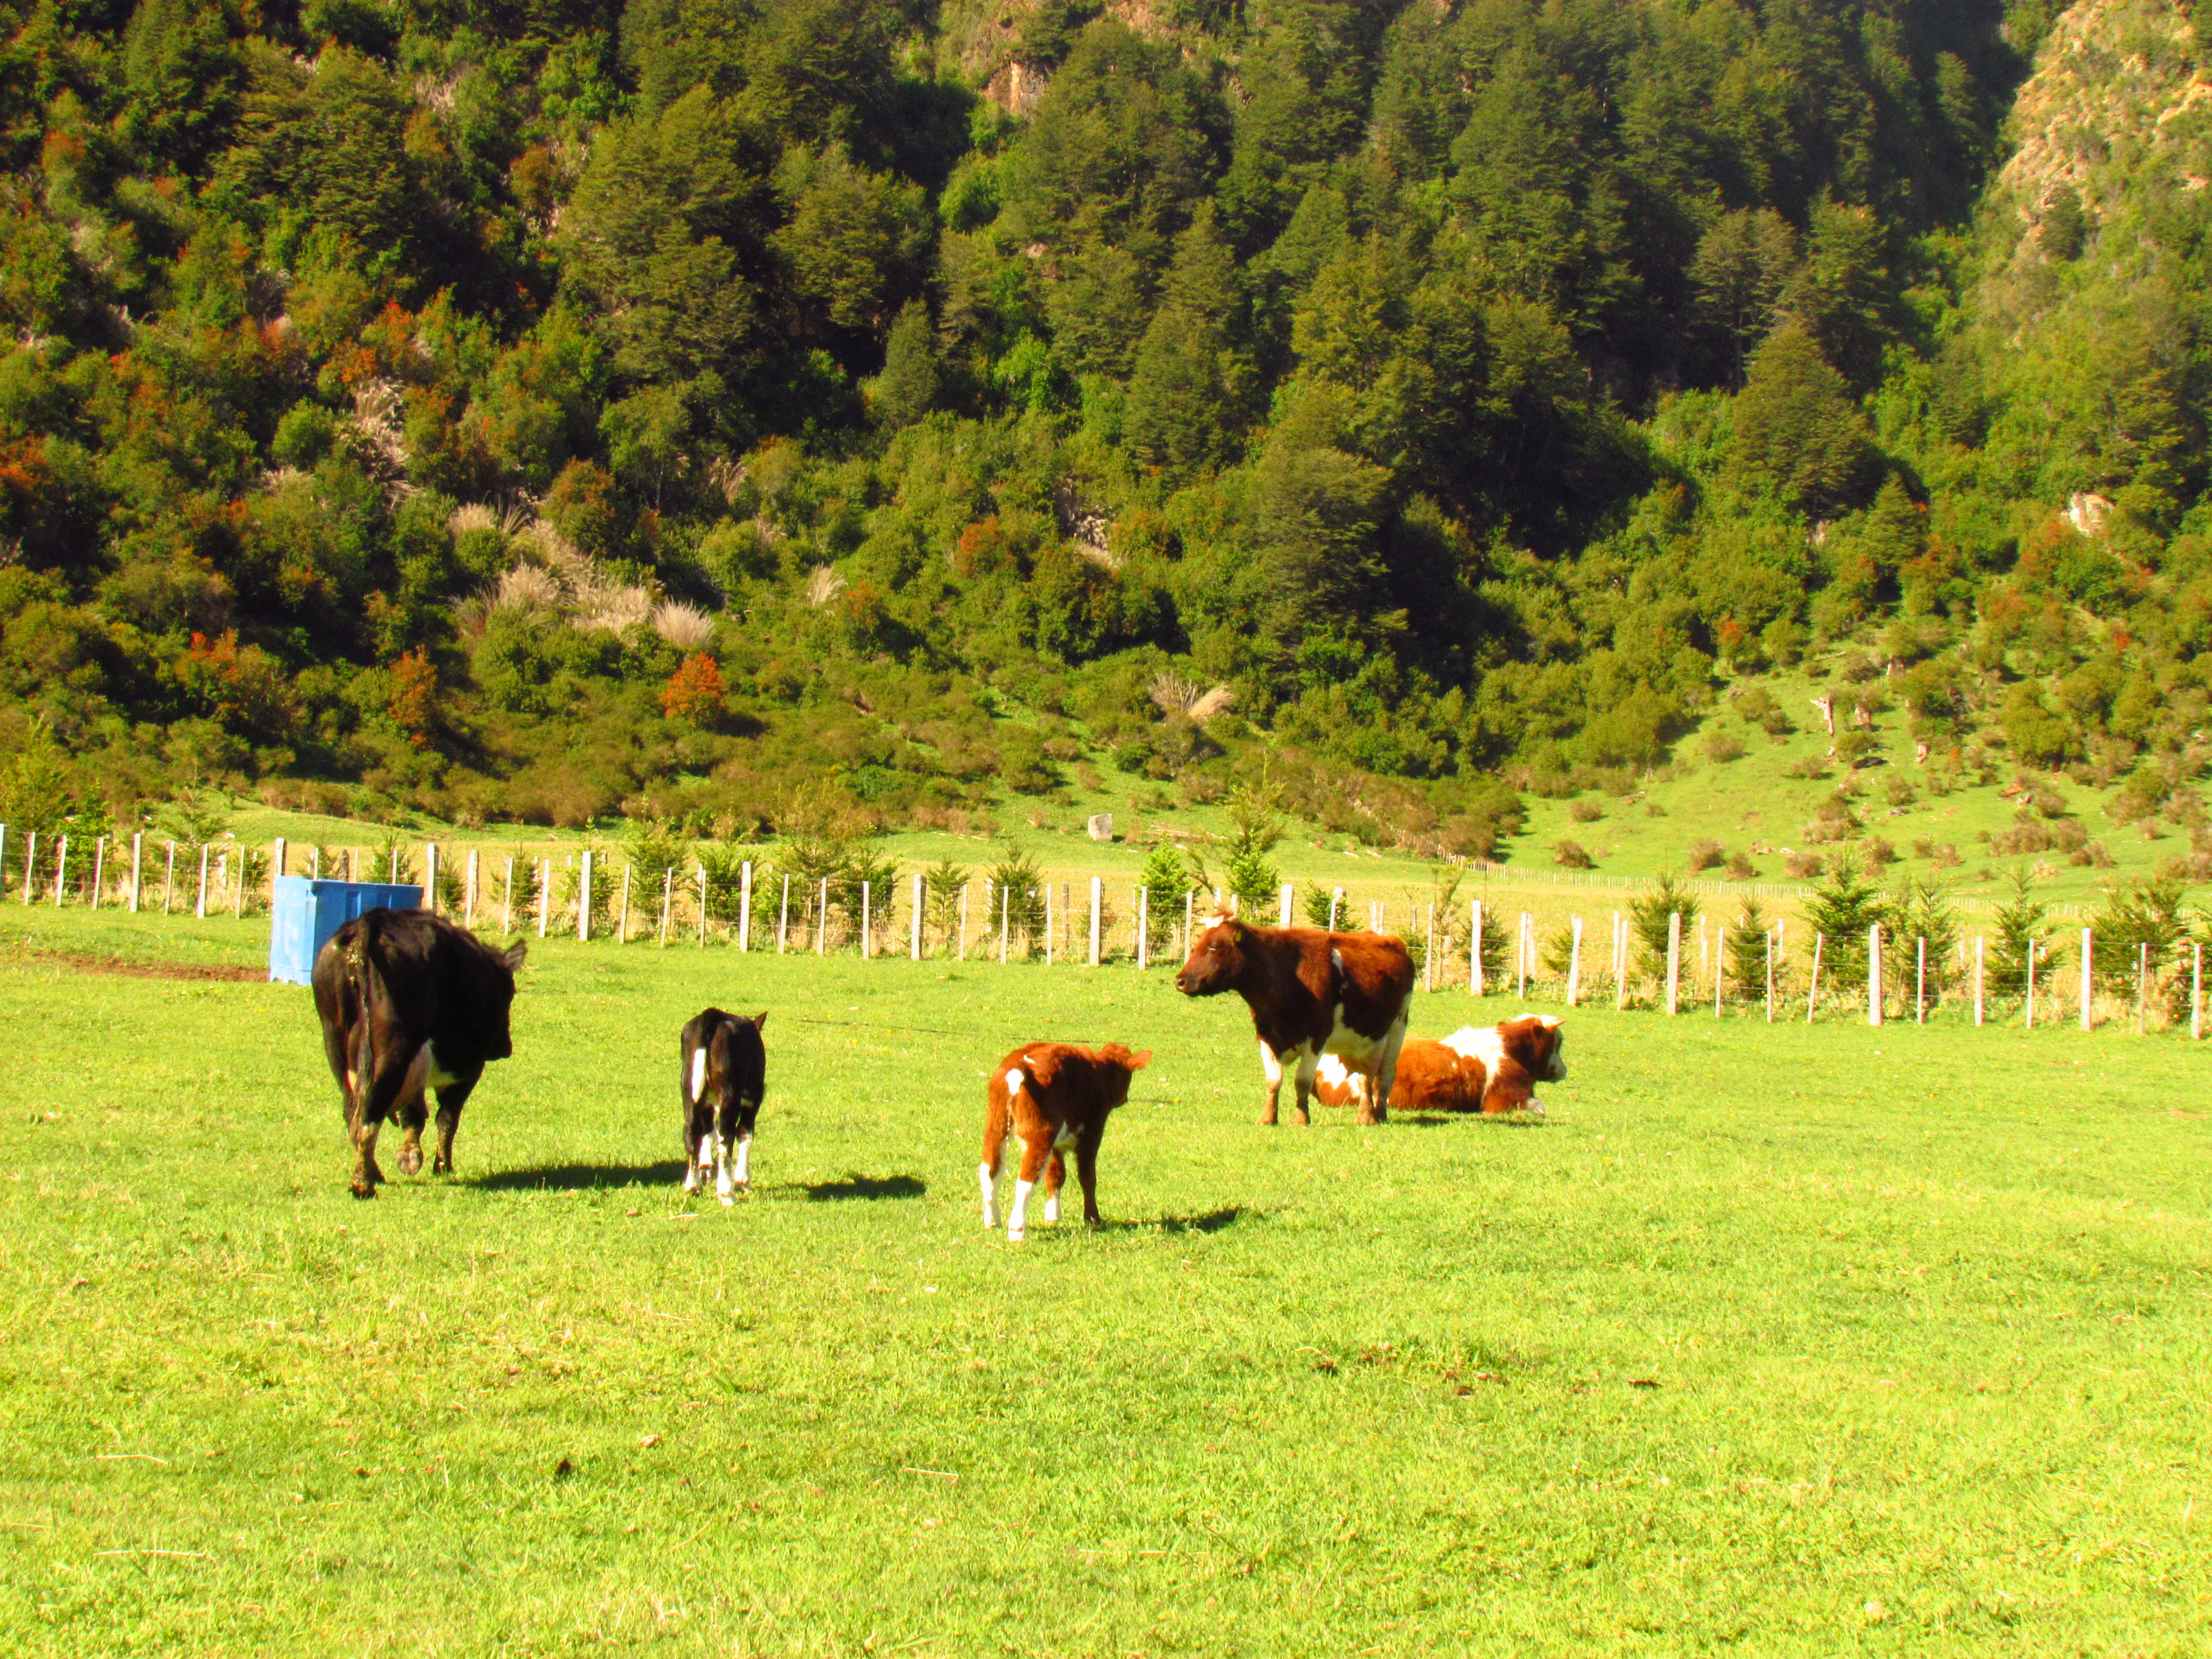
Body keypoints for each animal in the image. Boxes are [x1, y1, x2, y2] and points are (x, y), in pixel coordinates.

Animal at [311, 908, 527, 1197]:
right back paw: (363, 1184)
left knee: (352, 1110)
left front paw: (410, 1155)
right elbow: (447, 1118)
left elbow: (413, 1115)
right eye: (511, 992)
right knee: (369, 1111)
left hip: (336, 1041)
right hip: (394, 1049)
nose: (505, 1048)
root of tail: (373, 920)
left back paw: (373, 1173)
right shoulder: (468, 1068)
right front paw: (443, 1166)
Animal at [679, 1009, 768, 1205]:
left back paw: (693, 1186)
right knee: (726, 1139)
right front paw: (743, 1180)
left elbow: (707, 1132)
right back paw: (726, 1192)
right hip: (730, 1094)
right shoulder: (753, 1099)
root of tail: (712, 1015)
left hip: (689, 1087)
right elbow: (745, 1135)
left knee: (691, 1134)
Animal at [979, 1042, 1151, 1241]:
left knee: (990, 1171)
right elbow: (1087, 1177)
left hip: (996, 1126)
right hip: (1040, 1135)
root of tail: (1019, 1064)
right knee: (1025, 1180)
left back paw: (992, 1221)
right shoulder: (1092, 1134)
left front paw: (1053, 1216)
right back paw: (1016, 1231)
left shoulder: (1057, 1146)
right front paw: (1093, 1219)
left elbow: (1056, 1175)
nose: (1124, 1099)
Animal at [1174, 906, 1412, 1126]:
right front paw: (1268, 1118)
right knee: (1365, 1076)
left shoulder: (1317, 1038)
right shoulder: (1265, 1036)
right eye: (1196, 945)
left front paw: (1301, 1119)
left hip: (1396, 1030)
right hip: (1359, 1041)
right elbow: (1273, 1080)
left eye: (1214, 946)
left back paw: (1372, 1116)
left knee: (1379, 1077)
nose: (1181, 981)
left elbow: (1302, 1081)